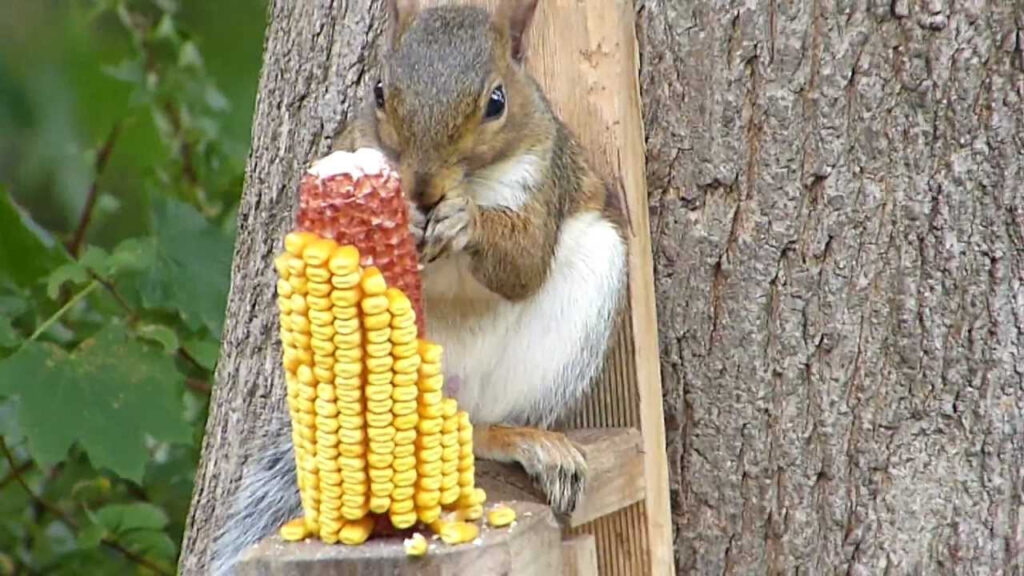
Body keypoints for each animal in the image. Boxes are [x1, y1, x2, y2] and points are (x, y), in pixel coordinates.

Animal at [208, 2, 626, 569]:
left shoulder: (545, 178)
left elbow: (524, 262)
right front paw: (399, 217)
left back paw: (528, 443)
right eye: (380, 91)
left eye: (497, 102)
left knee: (482, 426)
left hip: (575, 309)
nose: (423, 190)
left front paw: (466, 220)